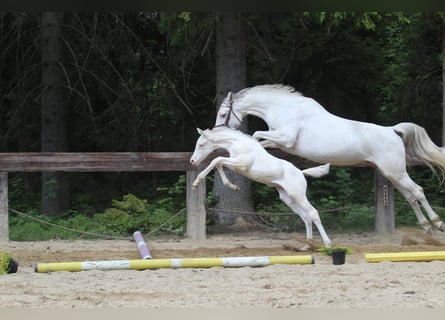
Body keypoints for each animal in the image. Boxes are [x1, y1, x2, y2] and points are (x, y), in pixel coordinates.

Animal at [189, 127, 332, 248]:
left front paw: (196, 182)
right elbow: (218, 164)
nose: (192, 161)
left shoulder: (241, 164)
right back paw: (307, 245)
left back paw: (327, 244)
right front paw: (233, 187)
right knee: (306, 217)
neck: (239, 144)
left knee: (313, 213)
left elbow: (216, 160)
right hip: (288, 199)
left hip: (298, 195)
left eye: (201, 144)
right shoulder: (235, 165)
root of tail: (301, 173)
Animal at [212, 84, 444, 234]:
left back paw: (437, 222)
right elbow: (259, 140)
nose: (217, 130)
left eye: (223, 114)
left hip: (395, 171)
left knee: (417, 192)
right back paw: (426, 226)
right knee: (410, 196)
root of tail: (393, 131)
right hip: (391, 173)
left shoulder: (286, 139)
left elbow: (257, 134)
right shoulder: (279, 142)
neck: (284, 109)